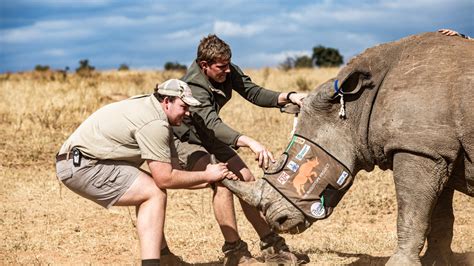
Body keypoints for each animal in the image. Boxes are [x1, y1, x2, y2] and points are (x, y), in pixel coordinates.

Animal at [221, 32, 474, 264]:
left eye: (292, 163)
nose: (278, 221)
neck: (357, 106)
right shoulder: (434, 148)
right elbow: (439, 216)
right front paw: (436, 260)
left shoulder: (416, 147)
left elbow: (411, 212)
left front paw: (401, 262)